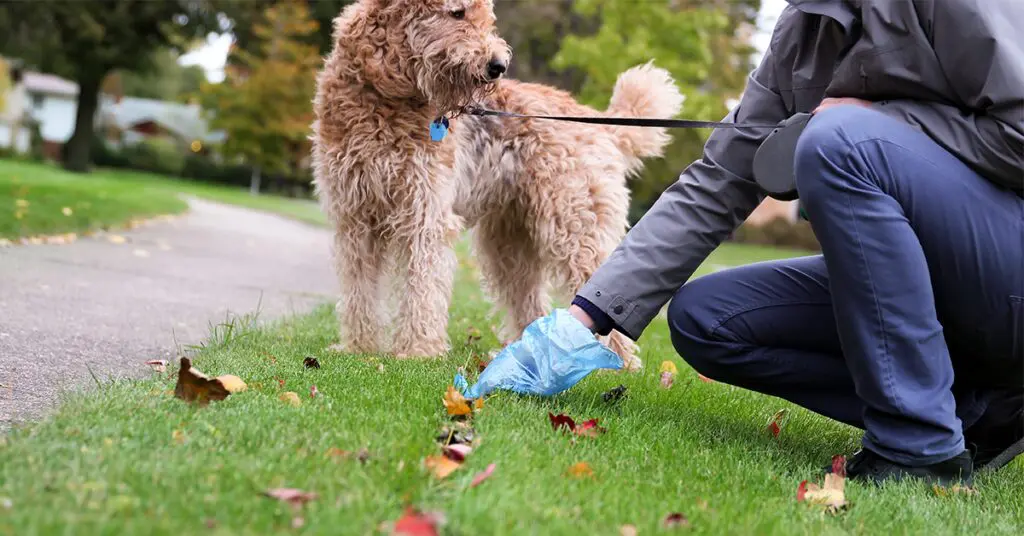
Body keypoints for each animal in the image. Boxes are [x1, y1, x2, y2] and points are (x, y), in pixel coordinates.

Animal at [311, 0, 679, 368]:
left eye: (487, 18)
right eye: (457, 13)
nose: (498, 66)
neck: (383, 94)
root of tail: (601, 124)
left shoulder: (425, 214)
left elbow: (422, 286)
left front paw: (417, 350)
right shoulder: (355, 216)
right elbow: (359, 288)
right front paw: (359, 347)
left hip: (574, 224)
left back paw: (614, 364)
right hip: (509, 242)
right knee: (529, 300)